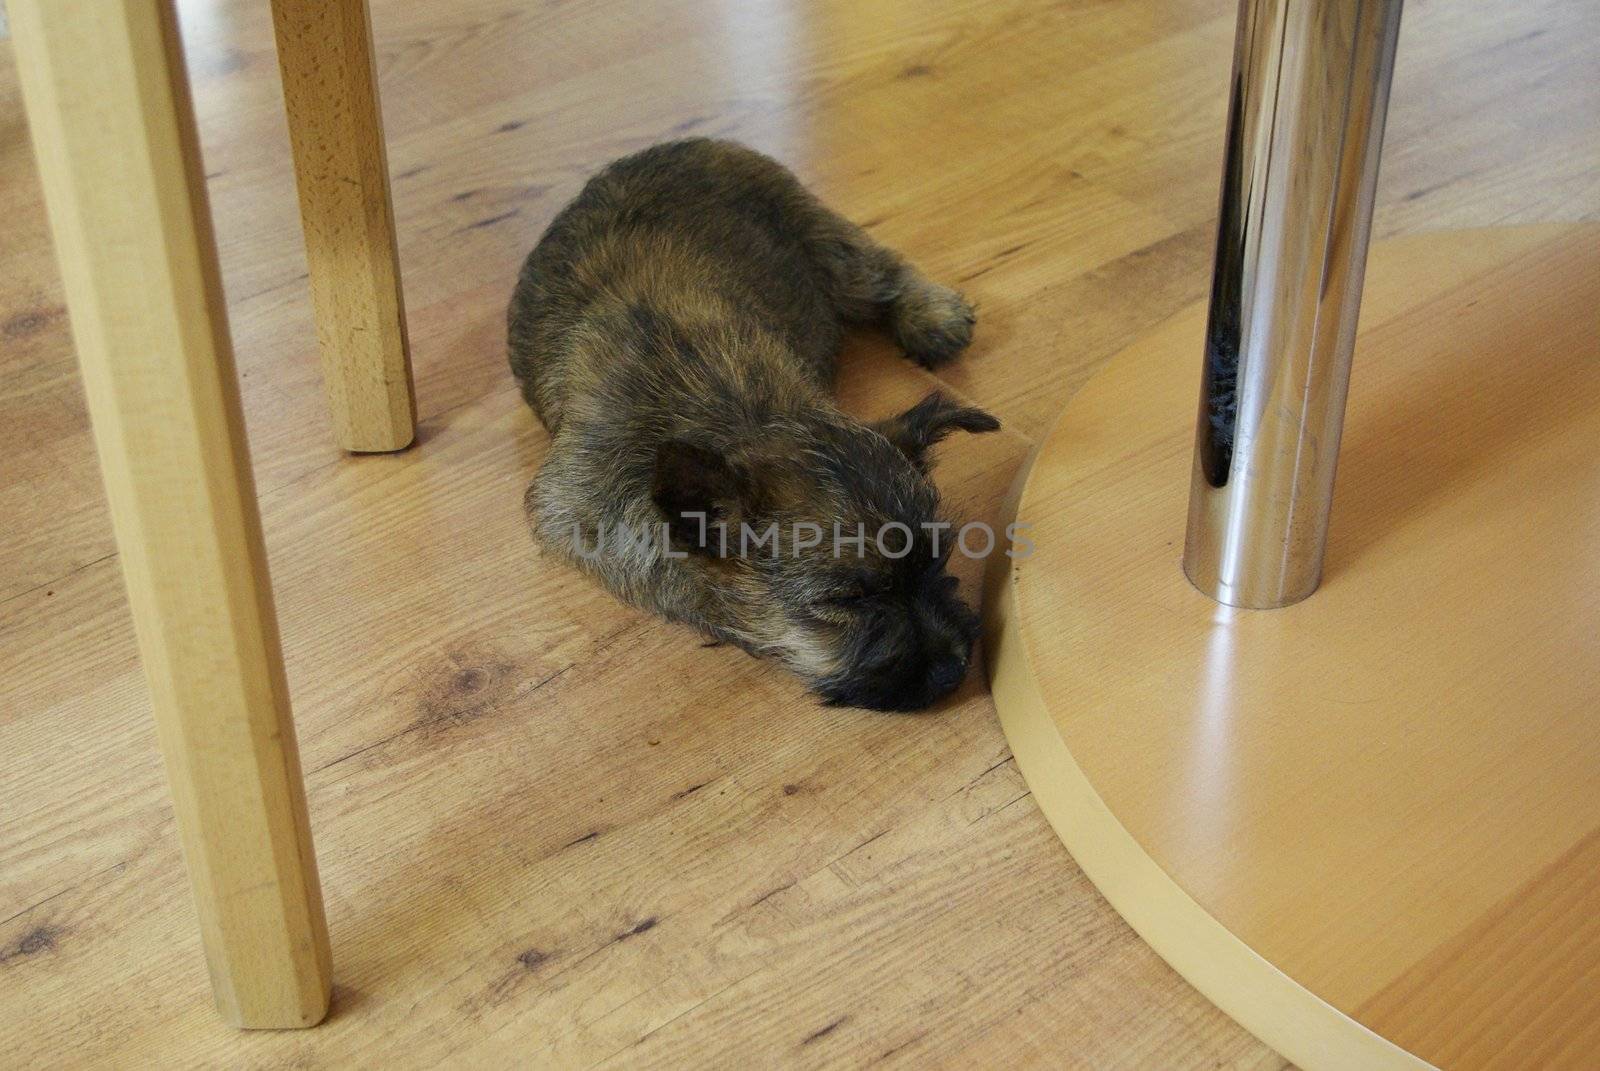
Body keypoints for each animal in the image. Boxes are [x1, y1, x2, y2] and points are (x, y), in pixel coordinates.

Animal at [505, 140, 992, 710]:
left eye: (939, 561)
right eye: (846, 600)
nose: (954, 669)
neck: (740, 415)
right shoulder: (571, 513)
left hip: (828, 242)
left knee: (882, 272)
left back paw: (931, 315)